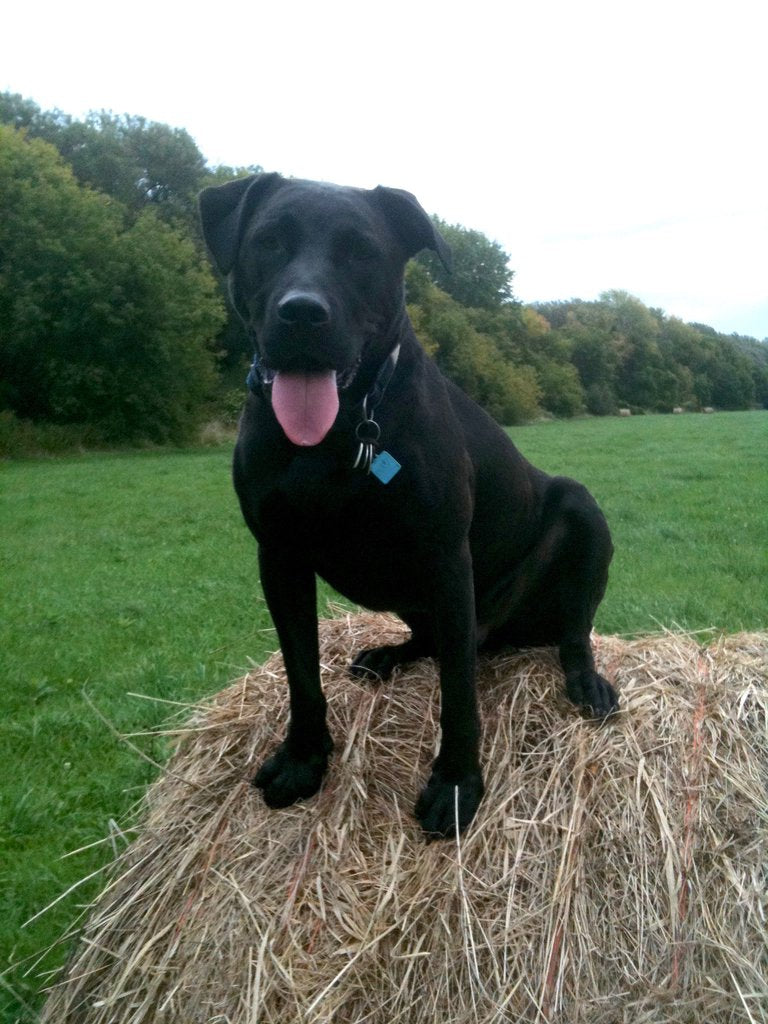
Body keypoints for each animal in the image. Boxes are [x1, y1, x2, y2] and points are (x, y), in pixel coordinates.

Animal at [199, 169, 618, 839]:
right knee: (439, 642)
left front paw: (456, 785)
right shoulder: (279, 556)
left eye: (361, 252)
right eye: (268, 241)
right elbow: (300, 672)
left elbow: (459, 696)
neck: (340, 430)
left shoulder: (447, 558)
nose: (302, 312)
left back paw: (586, 681)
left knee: (565, 630)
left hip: (577, 512)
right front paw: (303, 759)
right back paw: (387, 654)